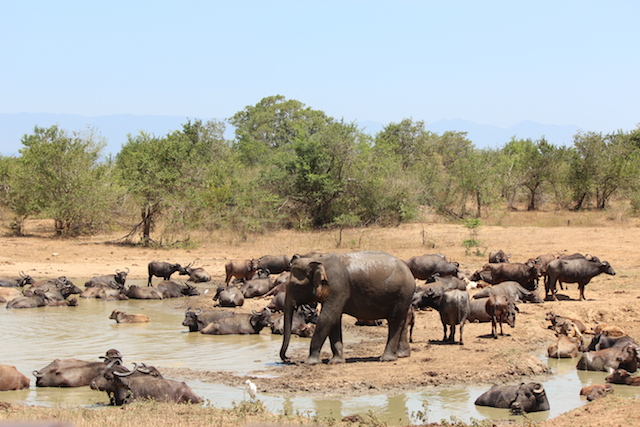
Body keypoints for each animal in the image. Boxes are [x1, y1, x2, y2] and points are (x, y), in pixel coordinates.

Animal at [280, 252, 416, 366]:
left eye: (295, 286)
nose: (288, 359)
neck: (318, 259)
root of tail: (408, 270)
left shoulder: (338, 288)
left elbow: (328, 318)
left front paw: (310, 362)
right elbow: (334, 320)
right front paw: (336, 362)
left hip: (402, 293)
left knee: (394, 320)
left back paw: (386, 359)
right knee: (402, 321)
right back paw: (402, 355)